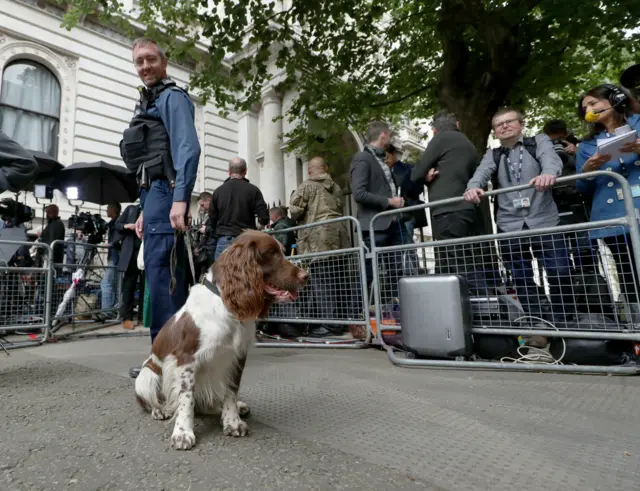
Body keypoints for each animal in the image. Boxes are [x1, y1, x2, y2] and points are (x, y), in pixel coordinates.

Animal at [134, 231, 308, 450]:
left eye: (283, 252)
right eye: (271, 253)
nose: (306, 276)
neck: (226, 303)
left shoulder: (238, 355)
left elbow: (231, 391)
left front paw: (232, 421)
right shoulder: (186, 359)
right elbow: (186, 399)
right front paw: (182, 433)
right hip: (146, 376)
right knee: (155, 400)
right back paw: (160, 410)